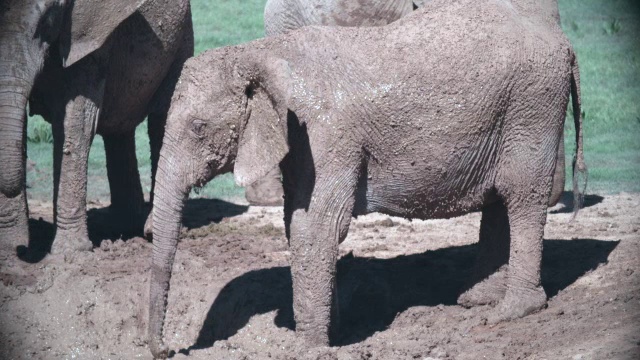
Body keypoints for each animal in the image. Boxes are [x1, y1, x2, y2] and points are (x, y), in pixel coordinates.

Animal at [0, 0, 195, 253]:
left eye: (48, 19)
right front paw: (11, 247)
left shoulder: (89, 39)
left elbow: (76, 123)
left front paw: (72, 252)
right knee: (119, 131)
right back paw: (123, 224)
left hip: (182, 37)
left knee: (162, 118)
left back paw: (150, 231)